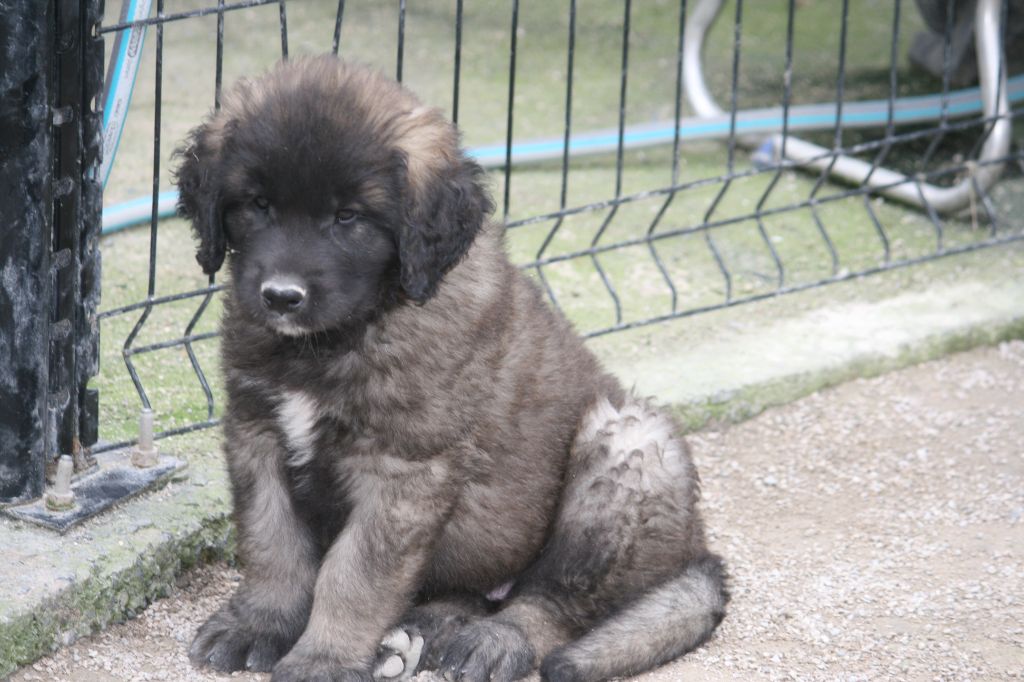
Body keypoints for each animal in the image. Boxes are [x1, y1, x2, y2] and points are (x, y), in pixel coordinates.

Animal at [172, 54, 724, 679]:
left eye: (349, 217)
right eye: (258, 204)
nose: (280, 297)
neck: (349, 332)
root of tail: (697, 545)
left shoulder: (403, 468)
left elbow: (354, 575)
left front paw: (323, 657)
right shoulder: (257, 431)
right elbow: (272, 544)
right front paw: (259, 624)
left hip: (630, 446)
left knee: (552, 600)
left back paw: (496, 639)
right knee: (471, 591)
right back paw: (426, 627)